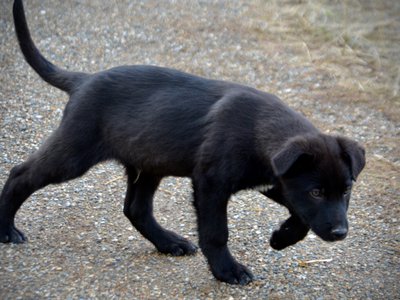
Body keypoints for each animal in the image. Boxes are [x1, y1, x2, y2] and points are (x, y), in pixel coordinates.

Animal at [0, 0, 364, 286]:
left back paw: (168, 243)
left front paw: (281, 238)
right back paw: (7, 229)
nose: (340, 233)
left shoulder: (277, 181)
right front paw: (227, 271)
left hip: (148, 163)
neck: (261, 129)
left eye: (346, 190)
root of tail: (83, 81)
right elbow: (216, 232)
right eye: (316, 191)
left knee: (136, 208)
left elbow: (301, 217)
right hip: (75, 153)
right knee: (21, 174)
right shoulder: (211, 183)